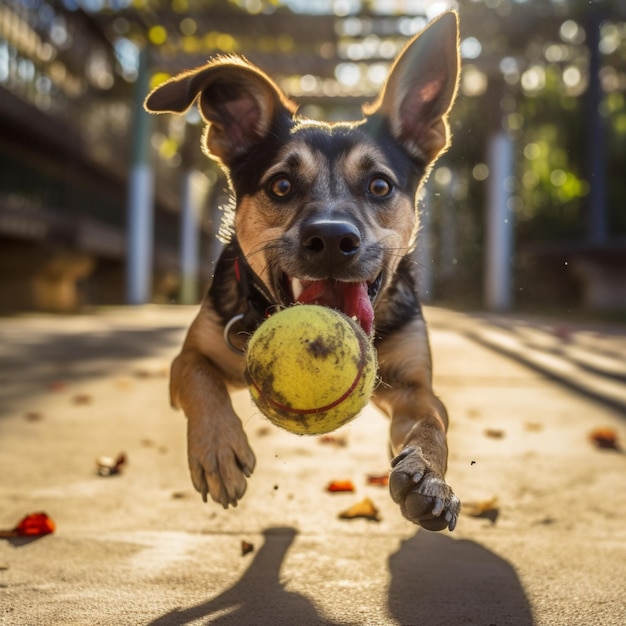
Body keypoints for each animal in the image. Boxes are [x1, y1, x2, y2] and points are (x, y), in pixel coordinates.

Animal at [145, 11, 458, 528]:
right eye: (281, 185)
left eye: (379, 185)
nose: (331, 240)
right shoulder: (189, 356)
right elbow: (200, 379)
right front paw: (218, 449)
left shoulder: (415, 387)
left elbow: (432, 423)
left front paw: (429, 477)